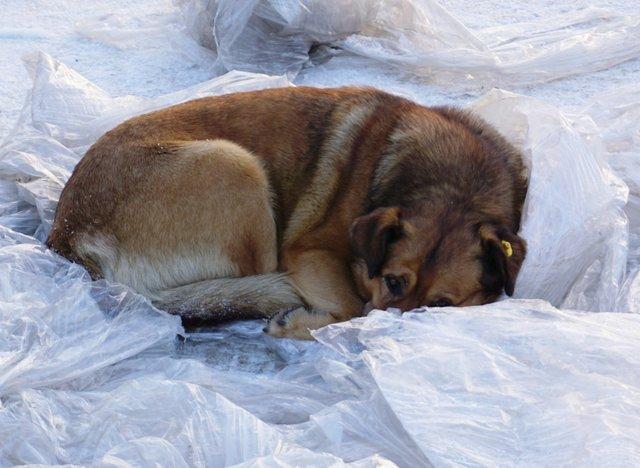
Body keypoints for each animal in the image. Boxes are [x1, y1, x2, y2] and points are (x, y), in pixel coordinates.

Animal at [46, 86, 528, 338]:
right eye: (393, 280)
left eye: (442, 305)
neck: (455, 185)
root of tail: (68, 233)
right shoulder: (308, 253)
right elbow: (354, 305)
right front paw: (299, 323)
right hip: (237, 167)